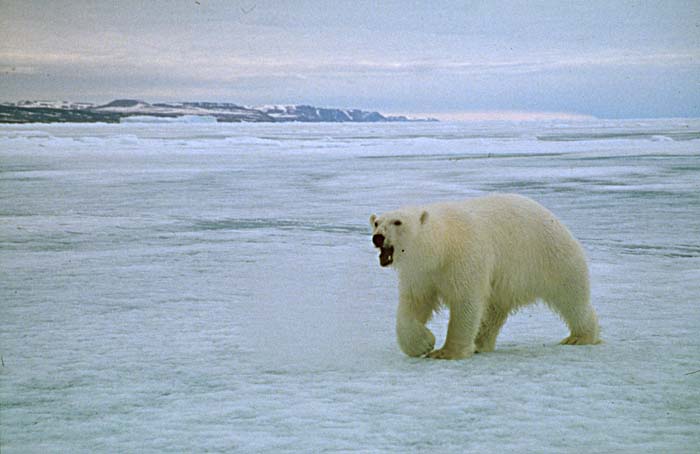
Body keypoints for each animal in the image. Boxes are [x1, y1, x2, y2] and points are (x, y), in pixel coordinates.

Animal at [370, 193, 600, 360]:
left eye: (398, 222)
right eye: (377, 222)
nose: (378, 238)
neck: (442, 246)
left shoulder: (465, 258)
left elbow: (466, 301)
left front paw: (446, 352)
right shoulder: (420, 272)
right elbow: (414, 303)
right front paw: (423, 343)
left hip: (550, 256)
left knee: (571, 297)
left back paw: (580, 337)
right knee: (494, 310)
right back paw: (480, 343)